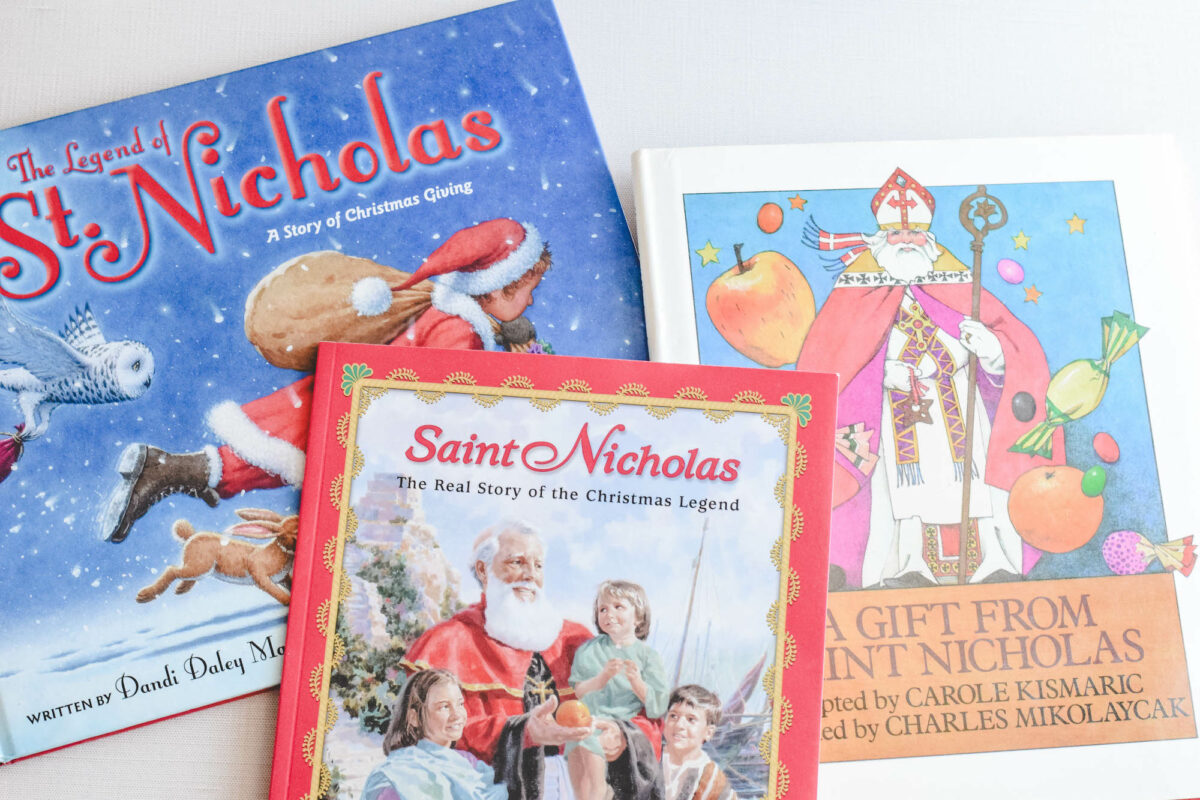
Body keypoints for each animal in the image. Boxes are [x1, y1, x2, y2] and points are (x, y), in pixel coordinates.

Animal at [137, 510, 297, 604]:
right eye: (295, 532)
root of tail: (191, 537)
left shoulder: (283, 578)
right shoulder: (260, 575)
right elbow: (277, 594)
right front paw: (288, 601)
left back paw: (181, 588)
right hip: (201, 566)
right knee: (172, 570)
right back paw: (144, 595)